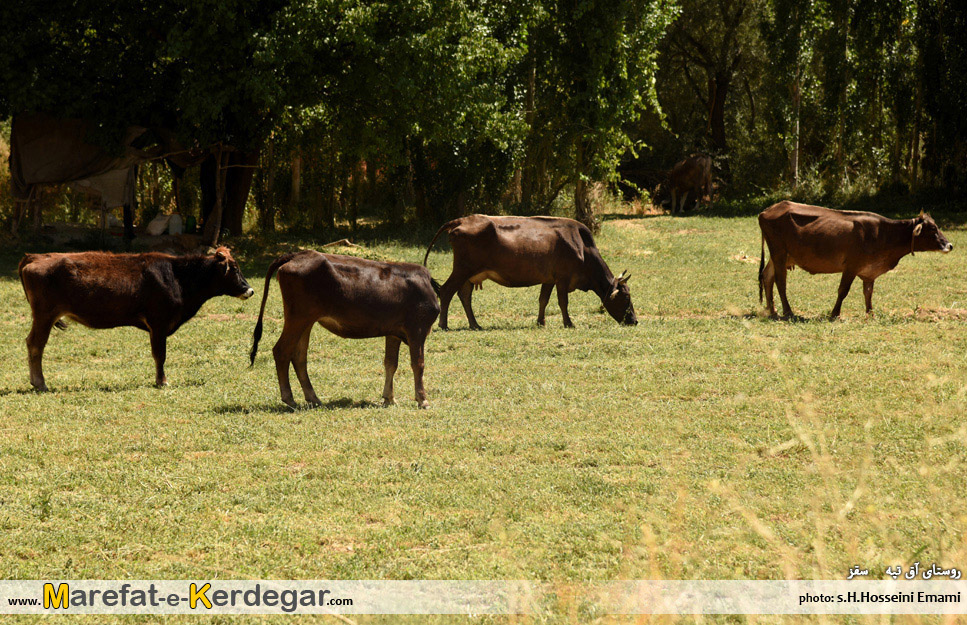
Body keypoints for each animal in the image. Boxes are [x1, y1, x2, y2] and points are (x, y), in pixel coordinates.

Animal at [19, 247, 253, 390]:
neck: (178, 276)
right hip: (44, 315)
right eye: (234, 269)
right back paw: (40, 383)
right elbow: (160, 355)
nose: (249, 290)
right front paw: (162, 381)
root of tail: (36, 256)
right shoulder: (158, 323)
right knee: (35, 345)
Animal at [248, 249, 440, 410]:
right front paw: (422, 399)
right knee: (282, 351)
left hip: (306, 320)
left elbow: (391, 363)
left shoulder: (393, 333)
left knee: (299, 356)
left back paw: (313, 398)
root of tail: (298, 254)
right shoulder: (418, 329)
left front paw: (389, 398)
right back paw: (289, 399)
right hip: (298, 317)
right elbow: (418, 364)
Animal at [422, 214, 636, 330]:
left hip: (469, 274)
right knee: (447, 291)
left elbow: (543, 300)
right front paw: (568, 323)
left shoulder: (549, 279)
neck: (582, 247)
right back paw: (443, 324)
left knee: (464, 295)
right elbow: (562, 302)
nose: (634, 321)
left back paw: (475, 324)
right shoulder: (563, 278)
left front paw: (541, 322)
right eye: (626, 298)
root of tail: (461, 220)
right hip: (462, 269)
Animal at [756, 200, 952, 320]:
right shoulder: (851, 266)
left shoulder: (869, 272)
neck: (885, 234)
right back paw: (787, 311)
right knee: (780, 281)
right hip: (779, 252)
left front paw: (870, 314)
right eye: (933, 229)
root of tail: (767, 210)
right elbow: (843, 291)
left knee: (767, 277)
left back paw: (772, 310)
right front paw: (835, 314)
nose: (949, 245)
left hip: (779, 255)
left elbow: (868, 292)